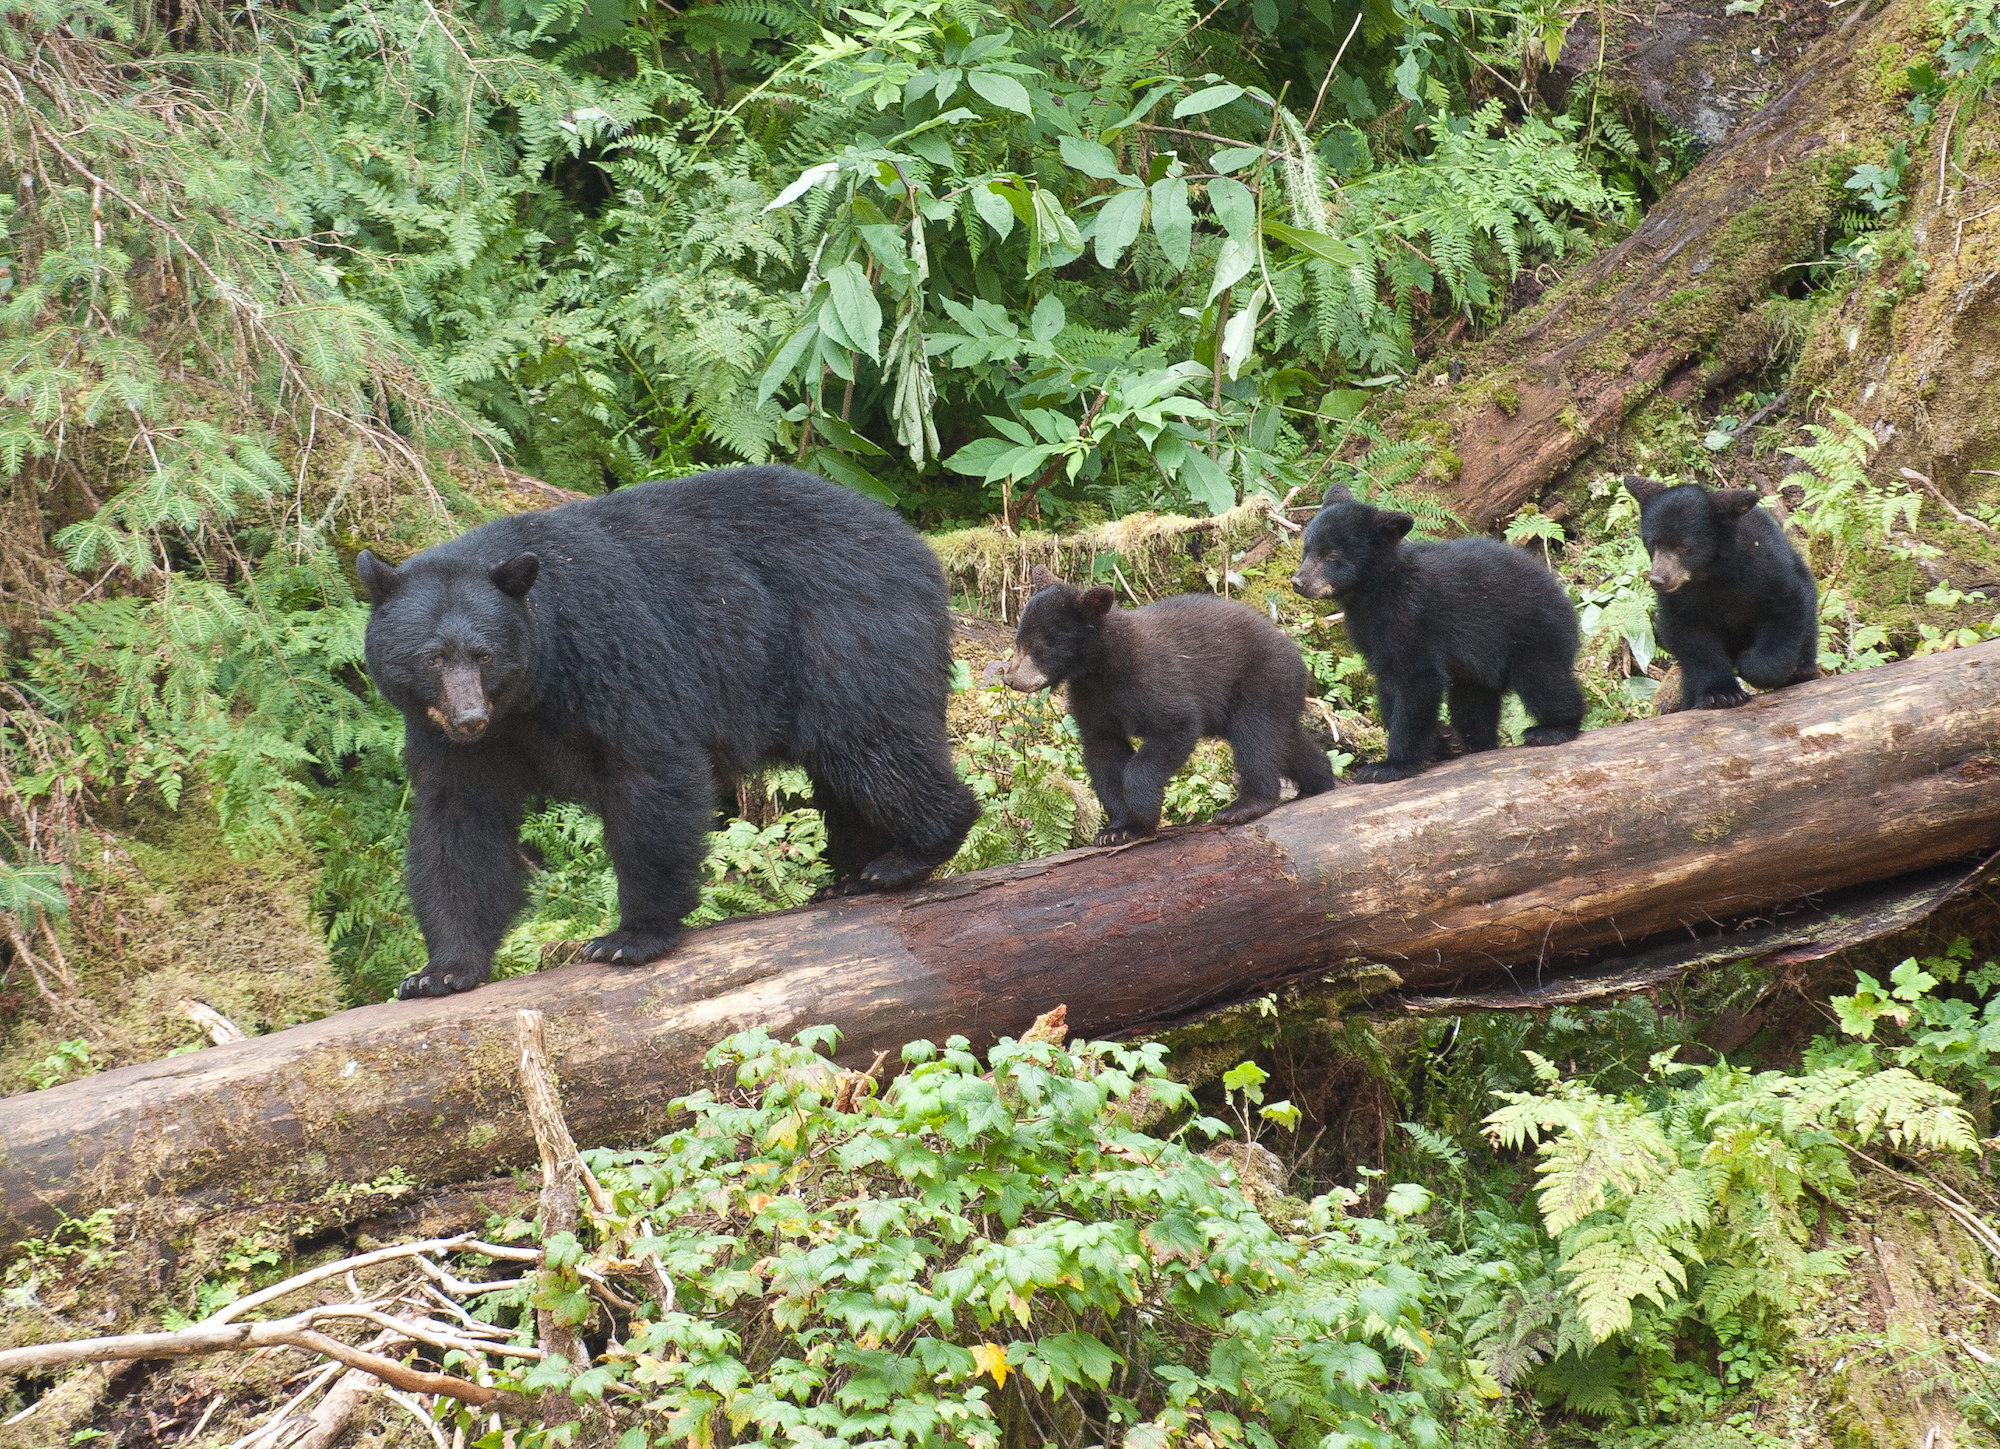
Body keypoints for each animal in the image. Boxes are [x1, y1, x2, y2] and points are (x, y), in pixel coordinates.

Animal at [366, 464, 984, 996]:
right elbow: (459, 823)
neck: (531, 692)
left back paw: (907, 856)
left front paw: (630, 938)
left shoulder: (613, 654)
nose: (469, 718)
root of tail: (915, 547)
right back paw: (851, 874)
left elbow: (651, 773)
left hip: (845, 635)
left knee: (873, 744)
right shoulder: (452, 741)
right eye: (430, 659)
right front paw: (442, 970)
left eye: (484, 654)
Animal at [1000, 560, 1344, 844]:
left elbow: (1175, 726)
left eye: (1040, 646)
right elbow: (1103, 750)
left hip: (1260, 680)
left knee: (1256, 738)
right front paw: (1118, 828)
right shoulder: (1092, 699)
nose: (1010, 679)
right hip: (1273, 695)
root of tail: (1296, 654)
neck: (1101, 666)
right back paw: (1318, 783)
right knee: (1285, 740)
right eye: (1019, 640)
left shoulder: (1151, 680)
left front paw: (1143, 813)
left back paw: (1244, 806)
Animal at [1288, 492, 1584, 780]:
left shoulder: (1413, 619)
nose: (1298, 582)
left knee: (1542, 679)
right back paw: (1472, 743)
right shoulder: (1372, 635)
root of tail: (1563, 597)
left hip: (1531, 630)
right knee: (1473, 701)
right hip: (1479, 668)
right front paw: (1442, 740)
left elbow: (1416, 681)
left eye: (1331, 556)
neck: (1377, 590)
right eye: (1307, 549)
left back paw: (1552, 728)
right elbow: (1388, 684)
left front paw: (1391, 765)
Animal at [1632, 476, 1824, 708]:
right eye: (1653, 542)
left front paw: (1751, 664)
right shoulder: (1680, 599)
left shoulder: (1764, 569)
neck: (1711, 574)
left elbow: (1786, 610)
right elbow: (1690, 637)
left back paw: (1803, 671)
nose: (1658, 579)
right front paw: (1722, 693)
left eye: (1684, 546)